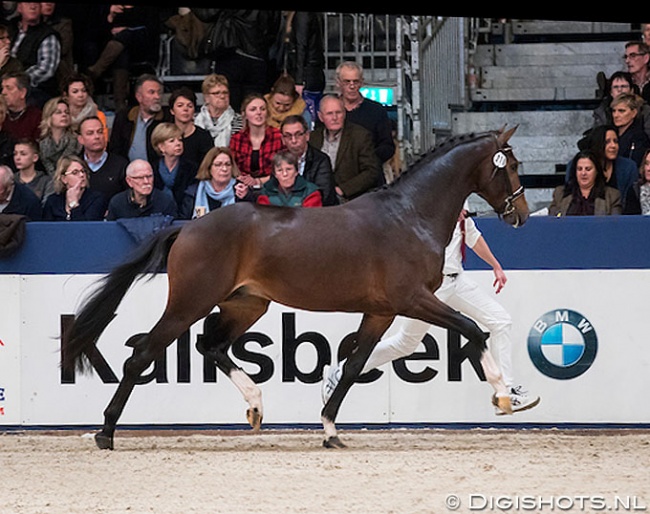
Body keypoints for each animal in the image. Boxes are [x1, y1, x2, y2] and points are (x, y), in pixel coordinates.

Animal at [62, 125, 528, 448]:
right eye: (511, 165)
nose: (520, 214)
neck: (409, 215)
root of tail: (187, 227)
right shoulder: (413, 299)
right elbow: (472, 330)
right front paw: (502, 395)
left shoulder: (381, 311)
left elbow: (354, 365)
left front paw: (330, 430)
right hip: (190, 303)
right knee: (143, 354)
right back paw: (105, 431)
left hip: (247, 305)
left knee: (211, 346)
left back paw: (255, 406)